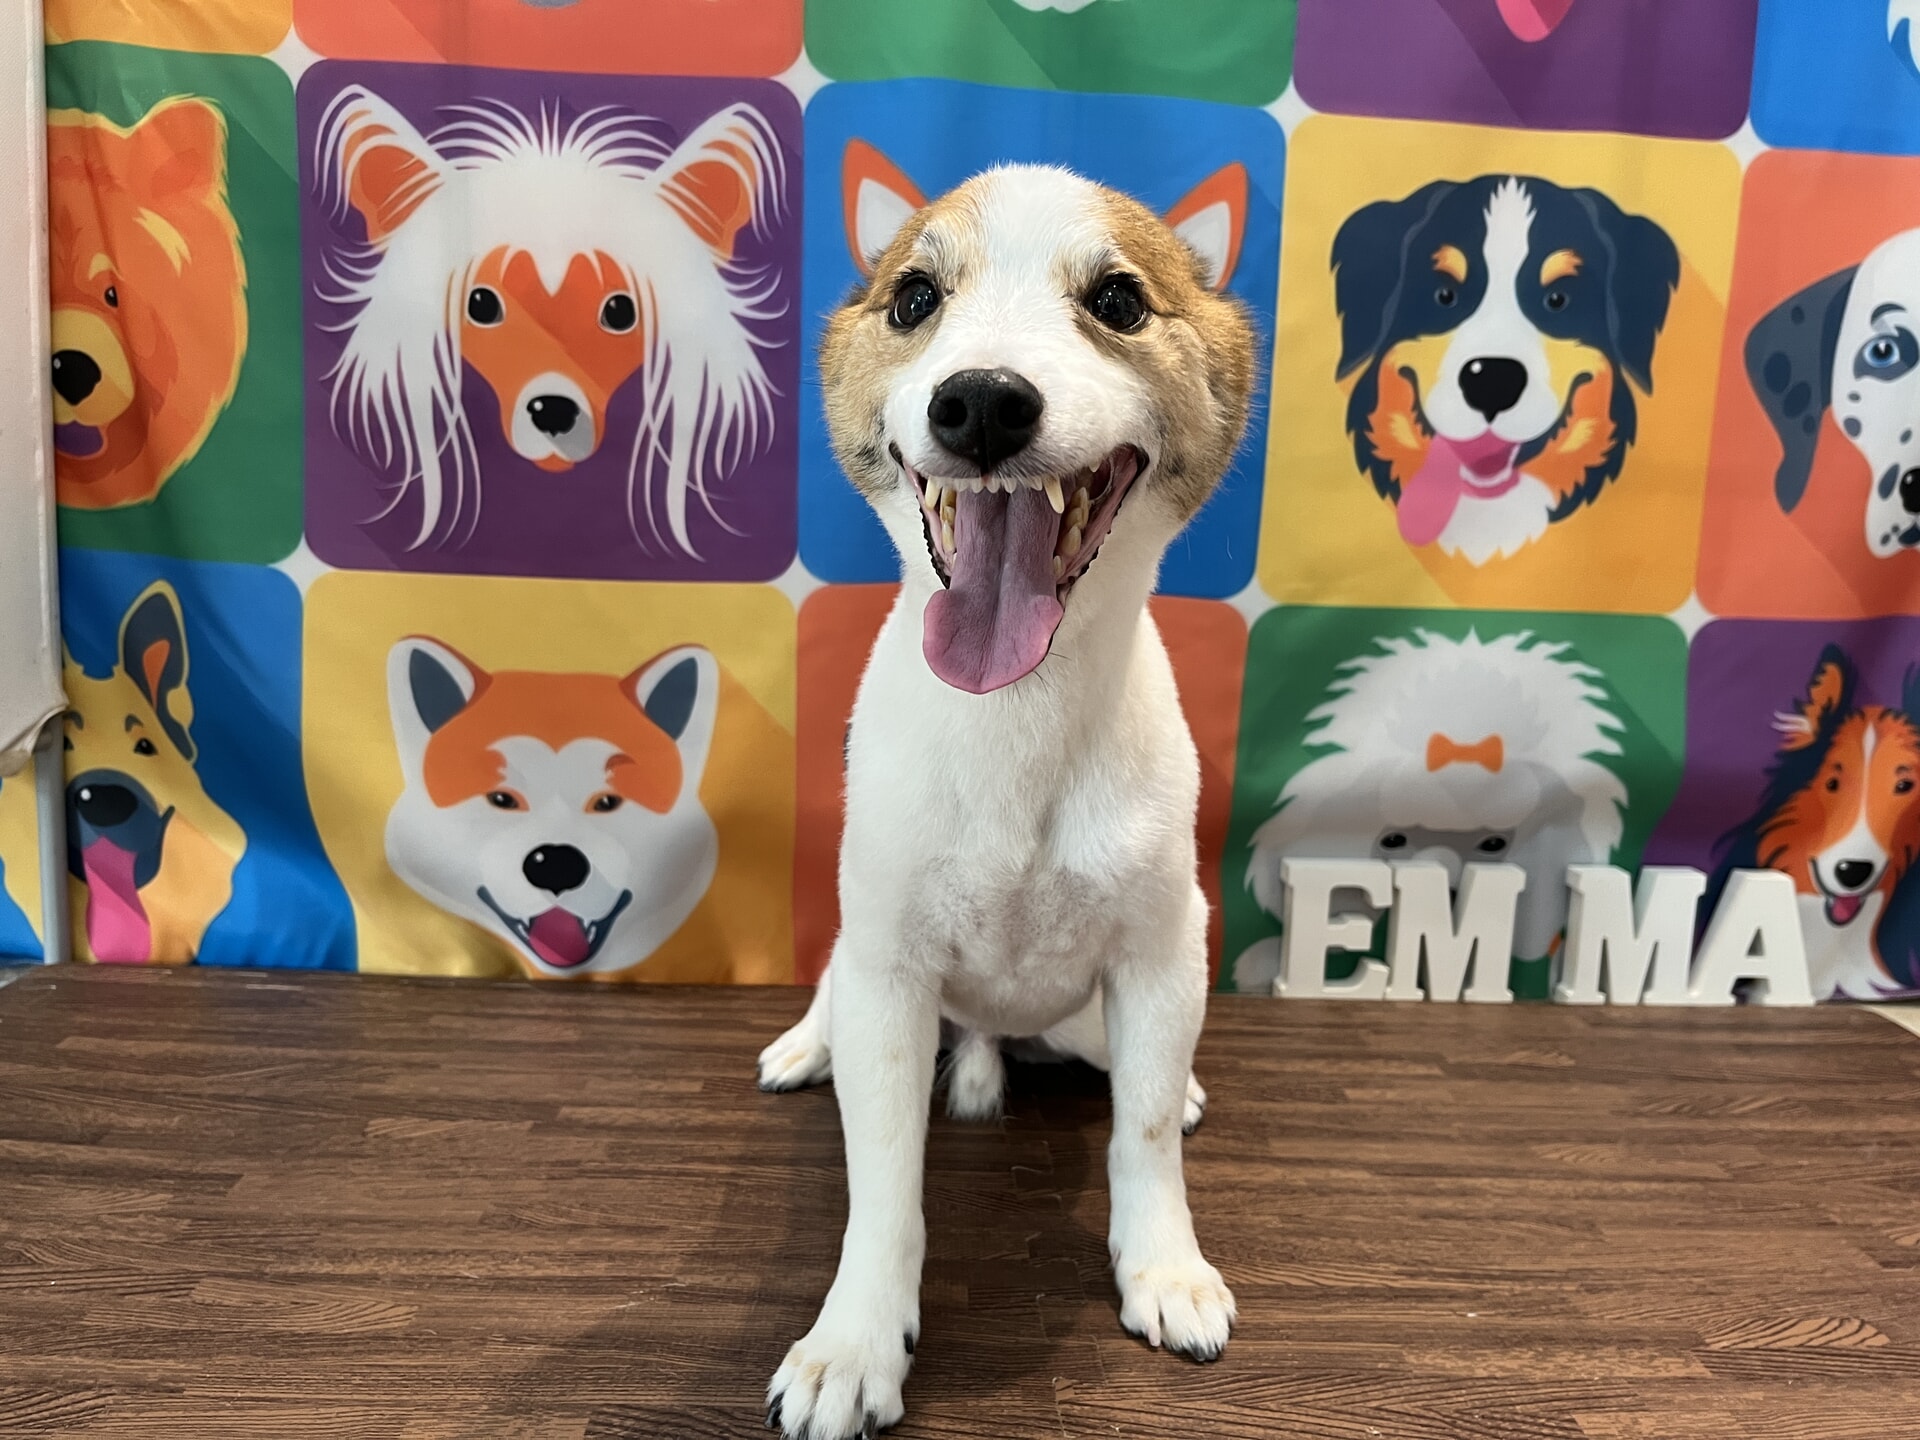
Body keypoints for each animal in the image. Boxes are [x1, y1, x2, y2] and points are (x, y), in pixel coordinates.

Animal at [753, 147, 1255, 1438]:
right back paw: (804, 1045)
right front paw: (854, 1342)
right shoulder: (888, 968)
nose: (981, 401)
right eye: (915, 298)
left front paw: (1164, 1264)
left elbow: (1141, 1131)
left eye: (1120, 301)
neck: (1017, 717)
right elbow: (883, 1181)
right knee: (833, 999)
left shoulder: (1162, 949)